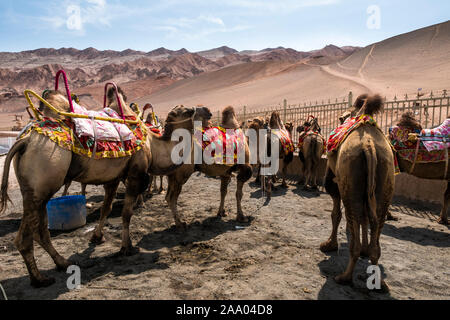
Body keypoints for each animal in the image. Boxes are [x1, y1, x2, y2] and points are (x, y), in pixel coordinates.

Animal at [318, 94, 396, 292]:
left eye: (340, 118)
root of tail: (369, 146)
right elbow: (363, 218)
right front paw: (364, 251)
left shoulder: (333, 181)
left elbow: (336, 214)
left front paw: (329, 245)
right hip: (385, 176)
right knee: (375, 222)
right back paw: (378, 280)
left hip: (349, 176)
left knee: (353, 214)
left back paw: (344, 277)